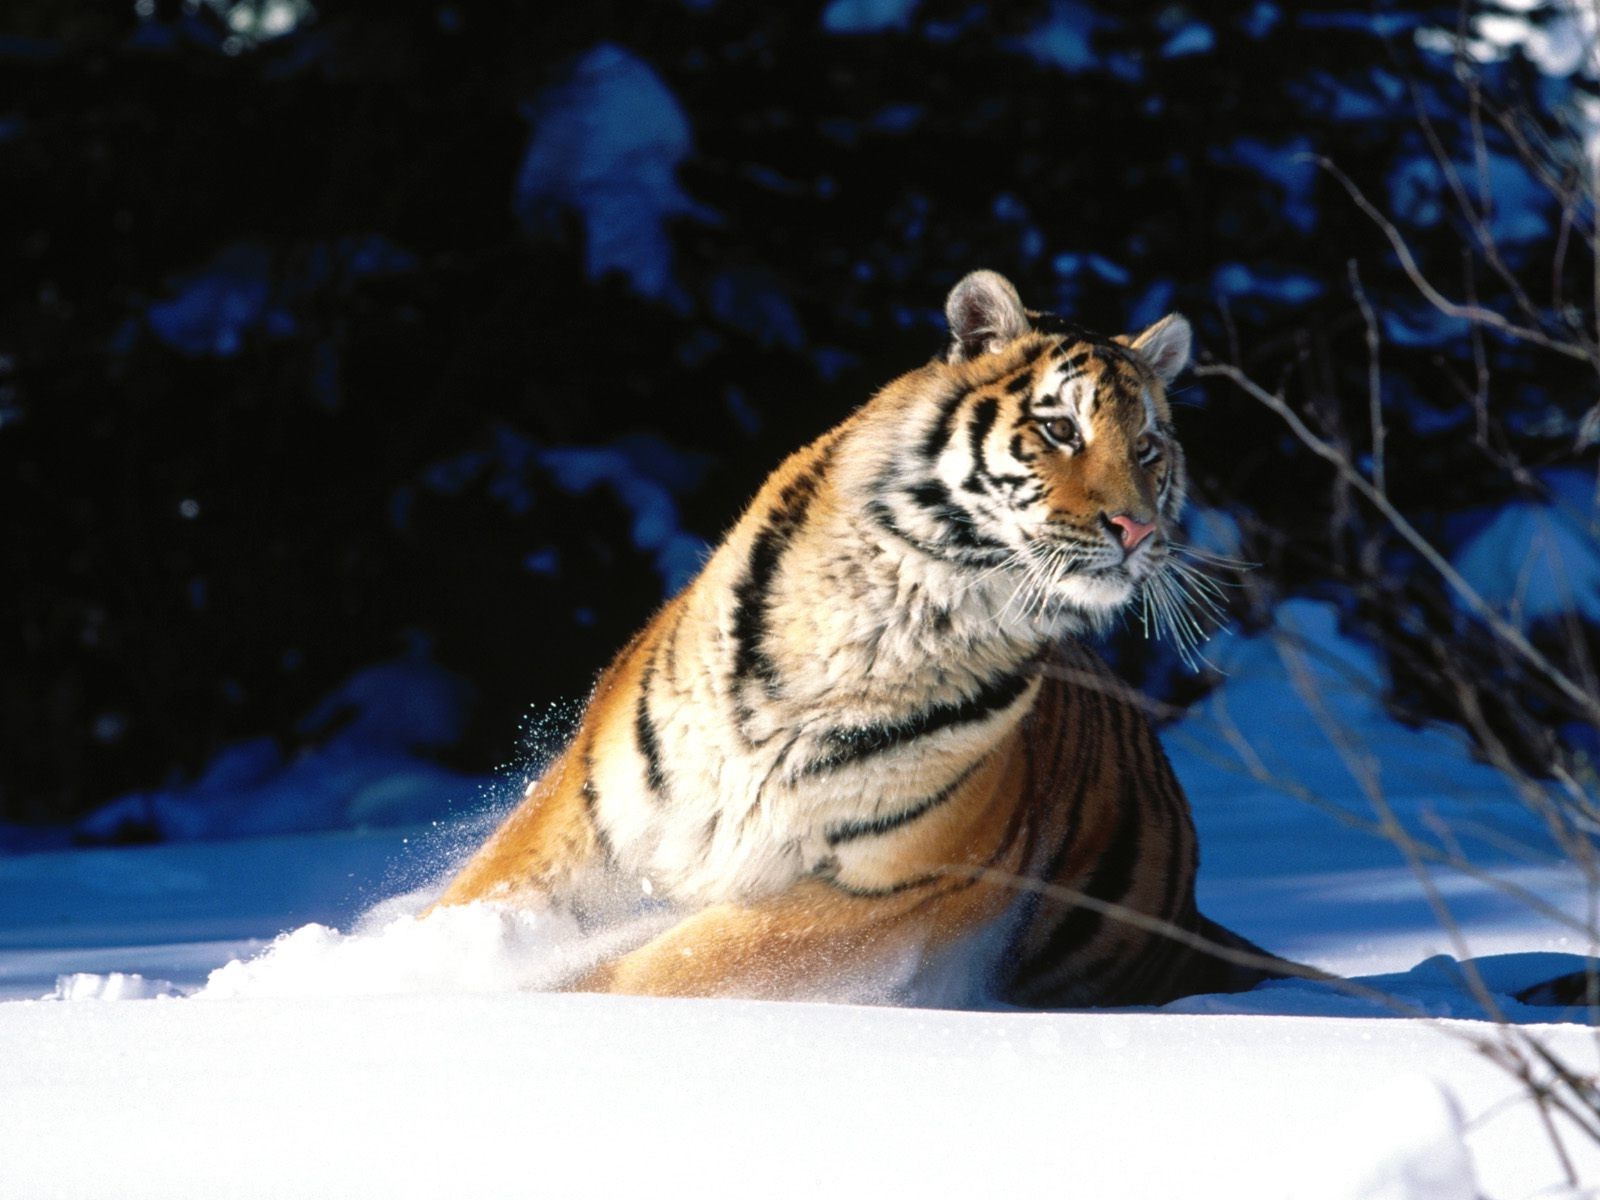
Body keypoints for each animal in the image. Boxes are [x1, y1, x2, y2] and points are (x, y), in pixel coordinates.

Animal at [434, 268, 1281, 1007]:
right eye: (1060, 428)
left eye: (1149, 448)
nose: (1139, 530)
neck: (893, 608)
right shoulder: (595, 809)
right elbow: (484, 899)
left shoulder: (892, 886)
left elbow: (668, 965)